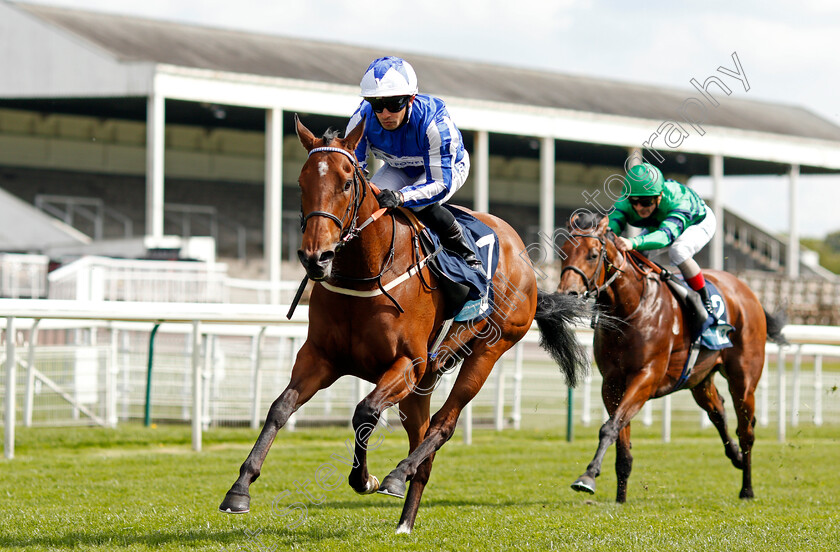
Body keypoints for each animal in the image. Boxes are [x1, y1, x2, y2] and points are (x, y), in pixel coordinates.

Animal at [217, 117, 592, 536]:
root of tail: (525, 260)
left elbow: (364, 412)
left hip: (488, 349)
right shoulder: (320, 357)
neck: (366, 270)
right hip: (424, 382)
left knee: (443, 425)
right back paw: (404, 521)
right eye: (301, 182)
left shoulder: (408, 363)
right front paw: (239, 489)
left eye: (346, 182)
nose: (316, 257)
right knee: (422, 438)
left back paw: (398, 475)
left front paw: (365, 478)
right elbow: (279, 408)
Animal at [556, 212, 788, 504]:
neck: (632, 308)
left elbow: (609, 427)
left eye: (593, 254)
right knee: (718, 411)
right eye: (563, 252)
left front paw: (587, 477)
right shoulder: (612, 383)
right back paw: (734, 456)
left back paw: (747, 488)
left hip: (744, 380)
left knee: (746, 431)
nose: (567, 294)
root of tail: (746, 291)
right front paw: (620, 497)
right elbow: (620, 436)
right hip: (699, 379)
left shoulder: (646, 377)